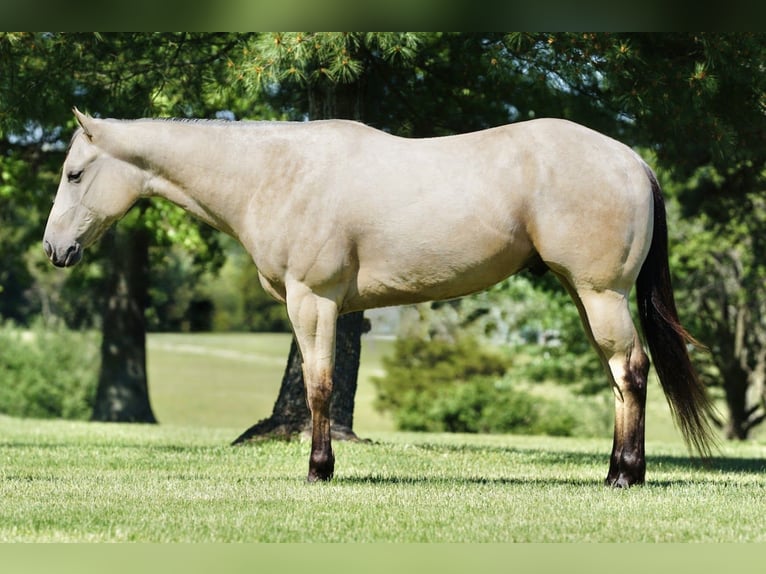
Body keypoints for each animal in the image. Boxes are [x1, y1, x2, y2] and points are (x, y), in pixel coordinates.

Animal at [43, 108, 717, 487]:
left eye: (75, 173)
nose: (54, 248)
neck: (274, 172)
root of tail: (632, 160)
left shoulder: (312, 300)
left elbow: (319, 385)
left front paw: (319, 471)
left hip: (602, 295)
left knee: (631, 371)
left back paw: (626, 477)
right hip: (586, 296)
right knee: (618, 377)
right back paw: (614, 470)